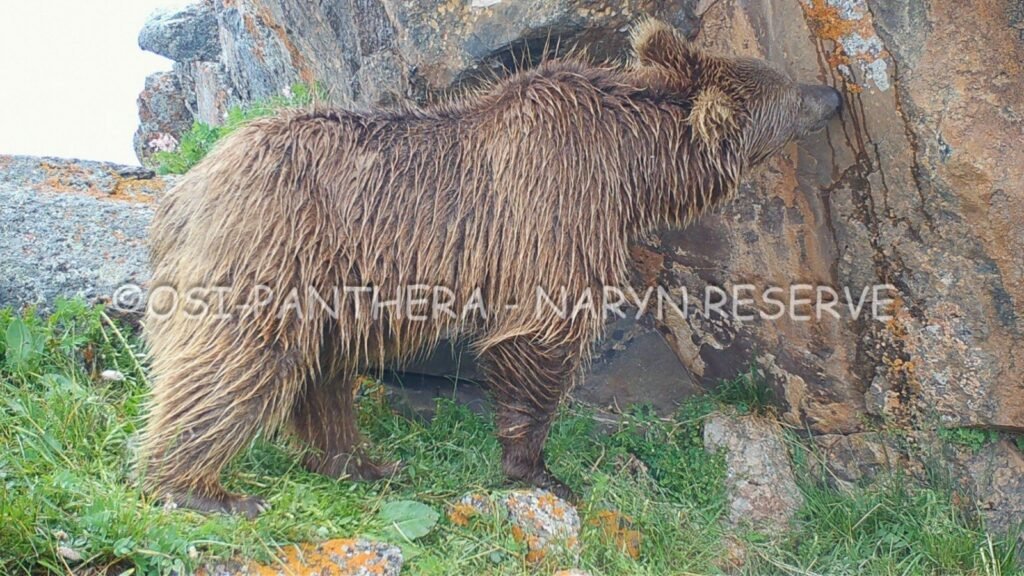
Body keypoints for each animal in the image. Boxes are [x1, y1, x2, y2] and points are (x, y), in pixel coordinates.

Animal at [141, 18, 841, 517]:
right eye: (789, 93)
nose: (833, 94)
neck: (630, 163)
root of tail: (185, 190)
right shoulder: (554, 207)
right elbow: (542, 335)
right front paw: (540, 469)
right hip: (274, 244)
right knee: (237, 358)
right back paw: (200, 488)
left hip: (329, 288)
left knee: (321, 371)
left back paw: (360, 463)